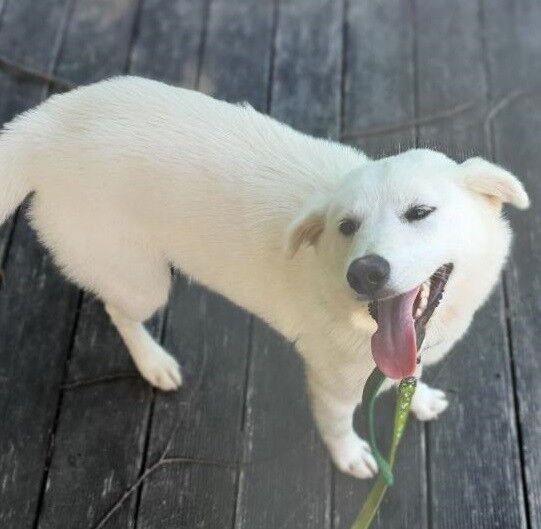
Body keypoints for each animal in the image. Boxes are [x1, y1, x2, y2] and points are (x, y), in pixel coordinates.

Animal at [0, 77, 524, 478]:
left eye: (419, 212)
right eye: (346, 227)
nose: (364, 273)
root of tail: (42, 126)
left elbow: (410, 379)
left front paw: (418, 399)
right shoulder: (331, 384)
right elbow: (338, 426)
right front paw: (351, 456)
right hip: (142, 282)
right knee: (117, 310)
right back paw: (153, 362)